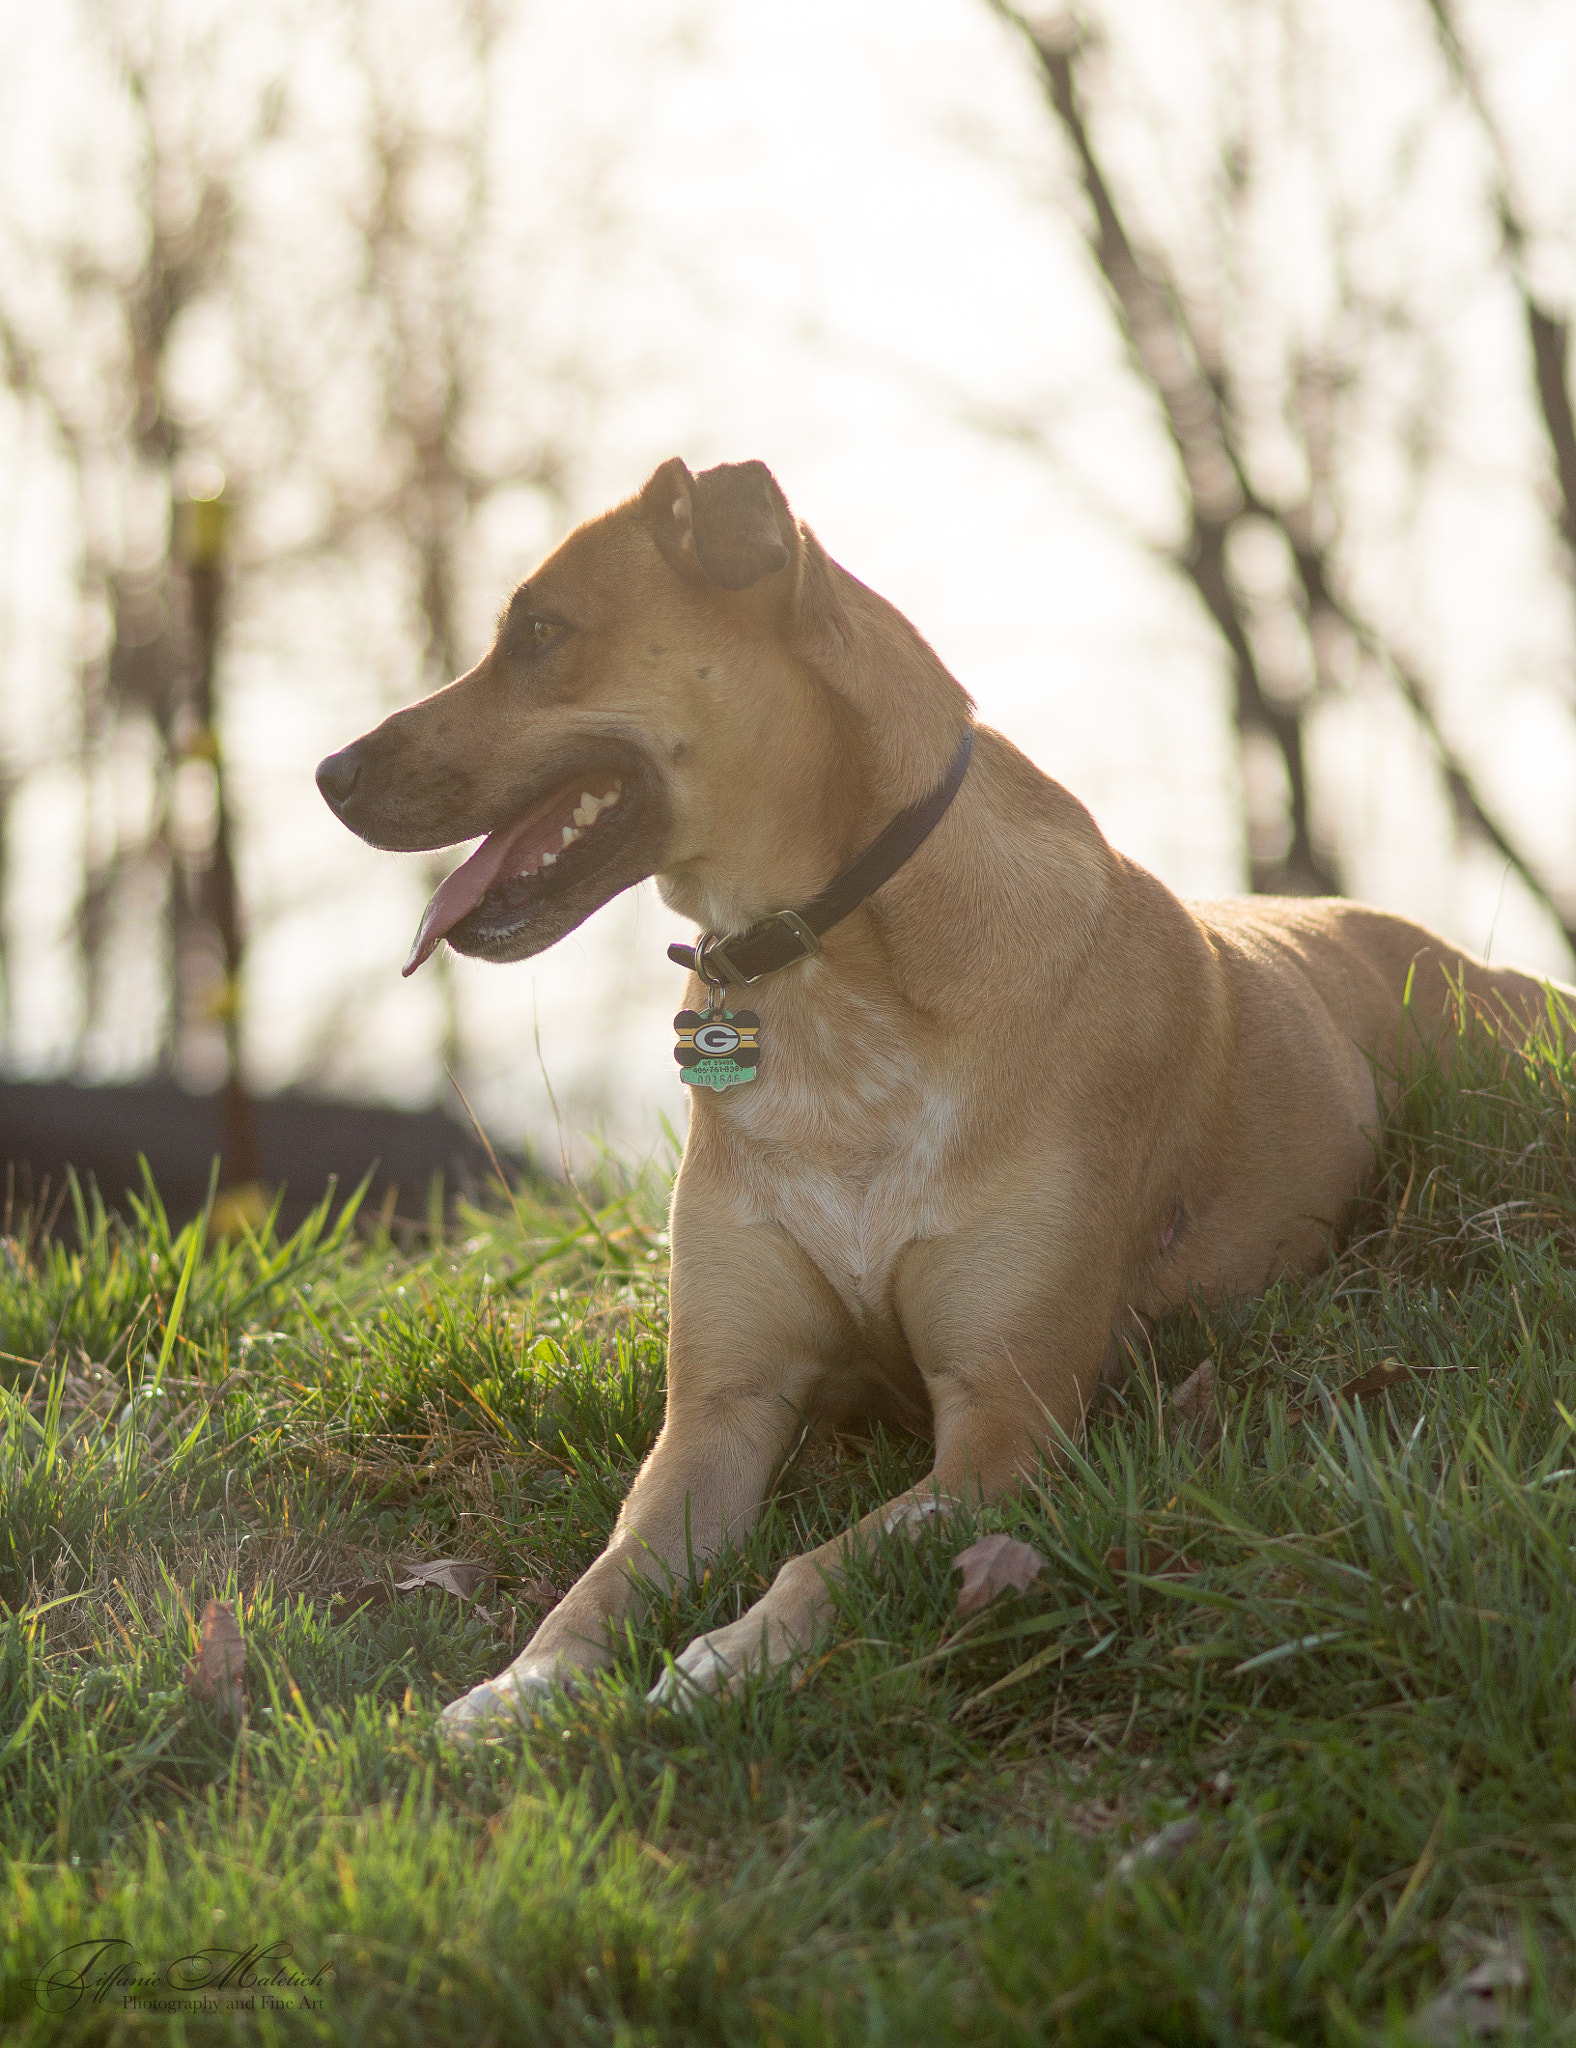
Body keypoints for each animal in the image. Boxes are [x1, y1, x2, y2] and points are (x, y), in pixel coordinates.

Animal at [313, 456, 1563, 1736]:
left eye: (541, 633)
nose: (328, 774)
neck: (836, 960)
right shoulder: (720, 1406)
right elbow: (607, 1572)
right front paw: (521, 1685)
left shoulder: (1004, 1417)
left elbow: (828, 1556)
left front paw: (726, 1654)